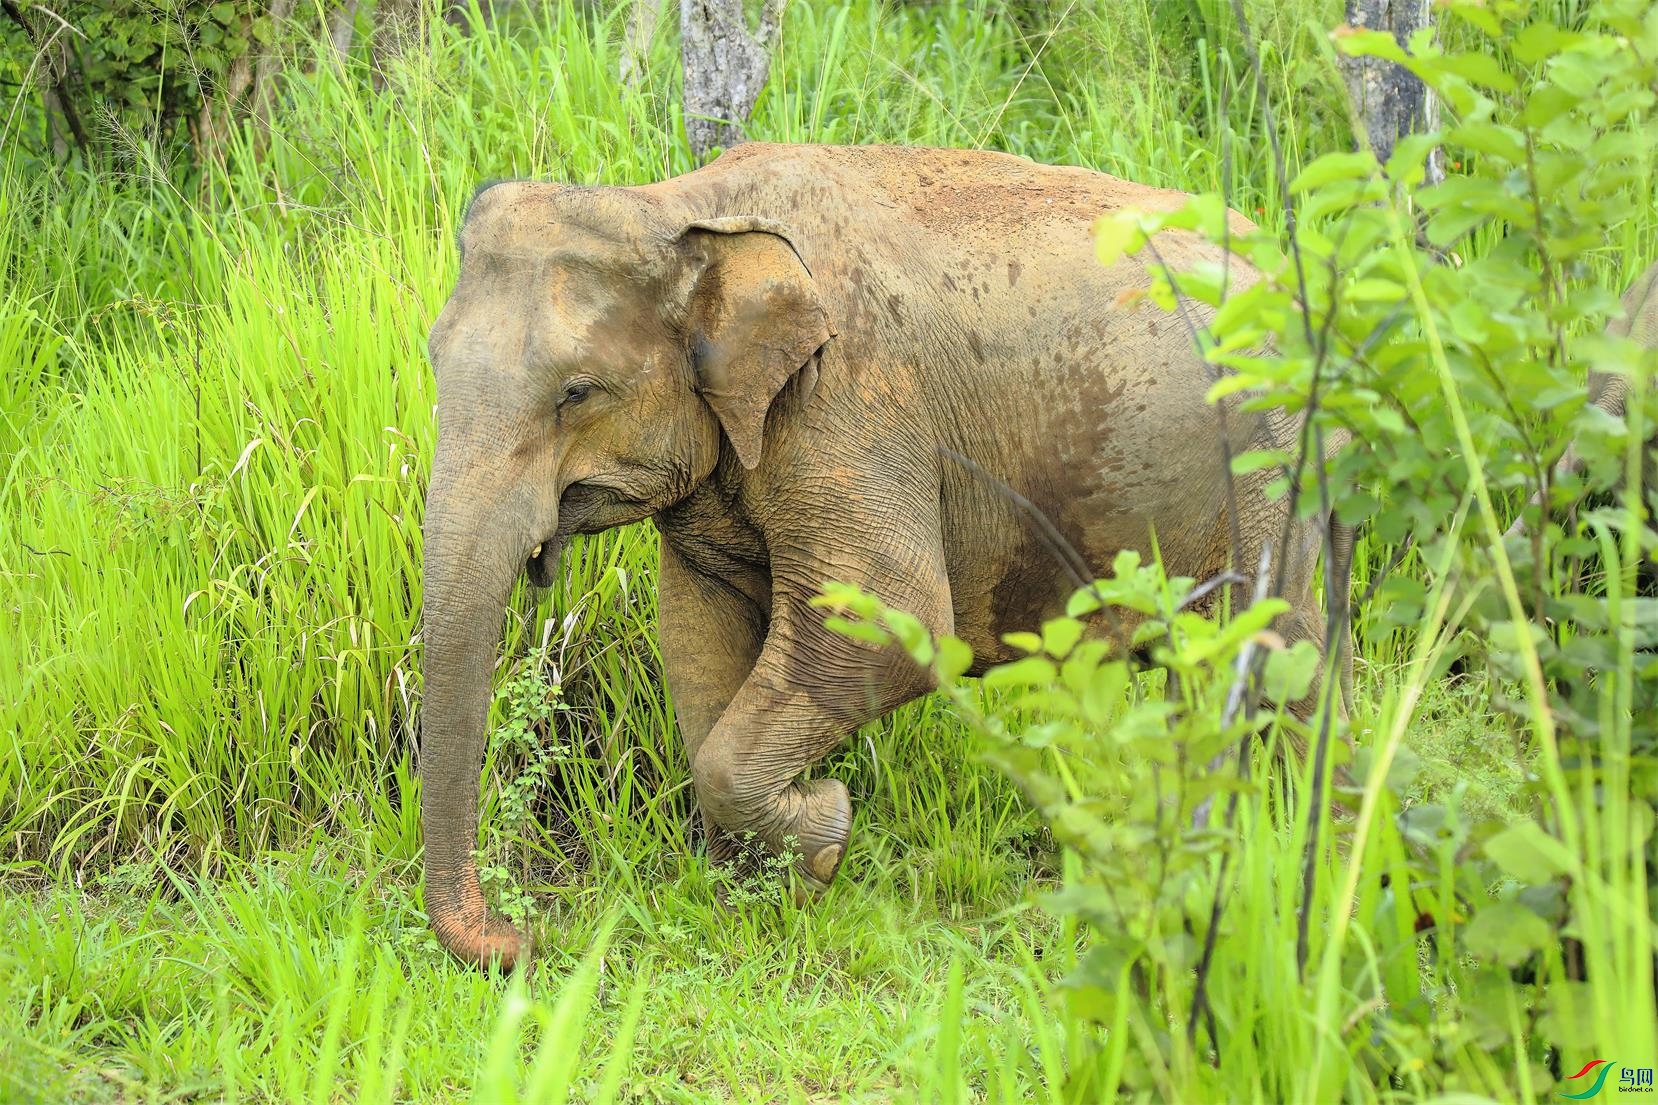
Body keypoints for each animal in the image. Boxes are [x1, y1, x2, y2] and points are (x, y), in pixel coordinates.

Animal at [417, 140, 1346, 962]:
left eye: (576, 392)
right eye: (430, 357)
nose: (525, 936)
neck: (679, 205)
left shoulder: (851, 398)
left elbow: (895, 619)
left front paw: (822, 832)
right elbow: (697, 638)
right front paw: (754, 886)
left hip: (1270, 469)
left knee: (1261, 658)